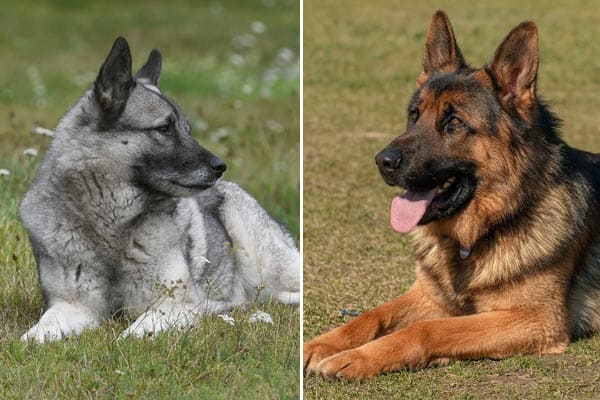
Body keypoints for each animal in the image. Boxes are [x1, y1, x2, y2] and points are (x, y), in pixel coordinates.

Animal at [19, 37, 300, 342]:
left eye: (187, 130)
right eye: (164, 128)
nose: (220, 166)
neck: (112, 226)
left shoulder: (174, 304)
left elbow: (134, 332)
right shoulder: (73, 306)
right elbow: (34, 336)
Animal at [304, 9, 600, 378]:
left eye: (454, 122)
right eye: (414, 115)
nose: (382, 161)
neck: (480, 234)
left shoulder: (536, 319)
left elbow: (427, 329)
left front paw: (358, 357)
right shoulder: (429, 296)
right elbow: (371, 315)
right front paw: (320, 344)